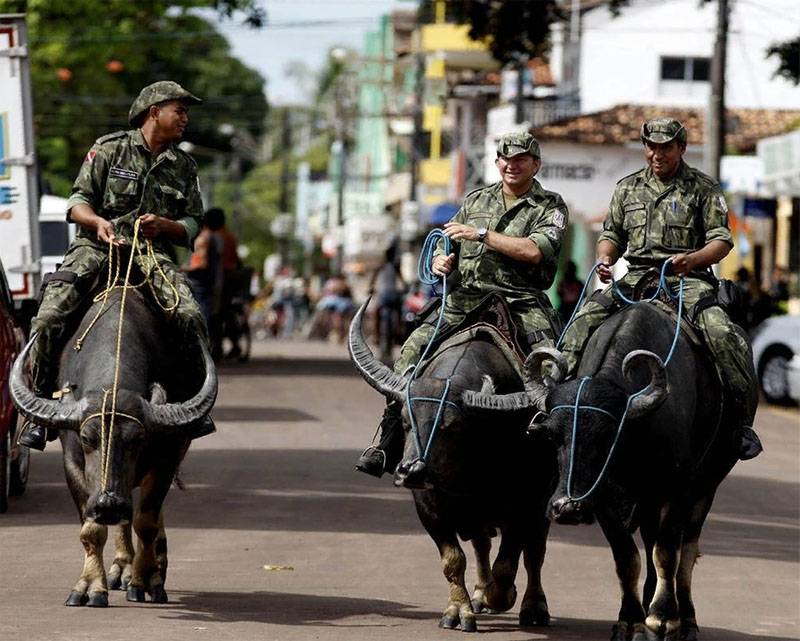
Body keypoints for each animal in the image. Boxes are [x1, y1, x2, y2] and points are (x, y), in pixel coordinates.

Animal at [10, 288, 216, 608]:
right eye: (86, 438)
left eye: (137, 439)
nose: (108, 504)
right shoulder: (73, 463)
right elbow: (91, 530)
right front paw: (90, 587)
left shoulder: (168, 455)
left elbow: (146, 521)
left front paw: (147, 580)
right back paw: (122, 567)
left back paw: (155, 562)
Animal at [350, 300, 556, 632]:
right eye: (405, 421)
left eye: (452, 426)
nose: (411, 471)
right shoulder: (429, 507)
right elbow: (454, 560)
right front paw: (459, 611)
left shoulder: (526, 503)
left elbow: (509, 562)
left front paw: (503, 596)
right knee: (482, 544)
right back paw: (480, 593)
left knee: (535, 552)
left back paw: (533, 607)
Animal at [528, 302, 748, 640]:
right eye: (553, 435)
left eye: (608, 434)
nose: (567, 507)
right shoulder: (602, 496)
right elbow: (626, 556)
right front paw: (631, 619)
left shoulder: (678, 488)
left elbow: (667, 551)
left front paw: (662, 618)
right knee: (649, 538)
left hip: (707, 486)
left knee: (687, 550)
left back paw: (685, 618)